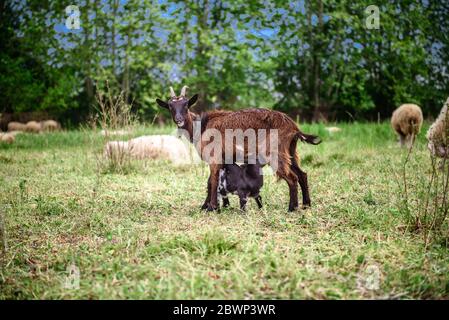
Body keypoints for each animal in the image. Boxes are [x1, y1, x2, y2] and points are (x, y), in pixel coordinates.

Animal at [156, 86, 320, 211]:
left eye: (186, 105)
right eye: (170, 106)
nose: (179, 120)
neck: (201, 127)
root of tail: (294, 128)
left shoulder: (214, 157)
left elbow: (212, 181)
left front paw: (211, 207)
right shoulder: (223, 159)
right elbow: (212, 181)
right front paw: (212, 205)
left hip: (275, 153)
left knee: (292, 178)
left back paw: (292, 208)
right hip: (290, 151)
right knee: (302, 174)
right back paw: (306, 205)